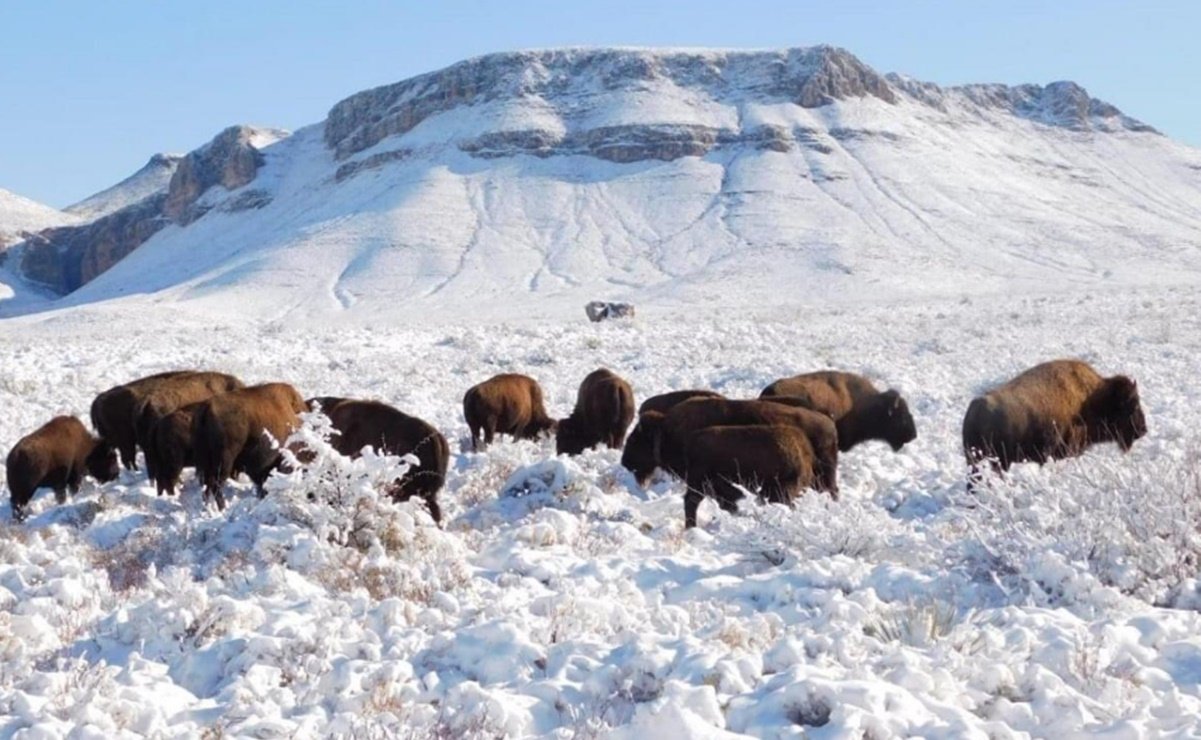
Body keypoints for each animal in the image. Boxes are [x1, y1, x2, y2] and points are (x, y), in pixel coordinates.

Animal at [960, 357, 1148, 485]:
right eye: (1133, 405)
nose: (1143, 430)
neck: (1093, 398)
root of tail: (975, 411)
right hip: (995, 461)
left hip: (976, 461)